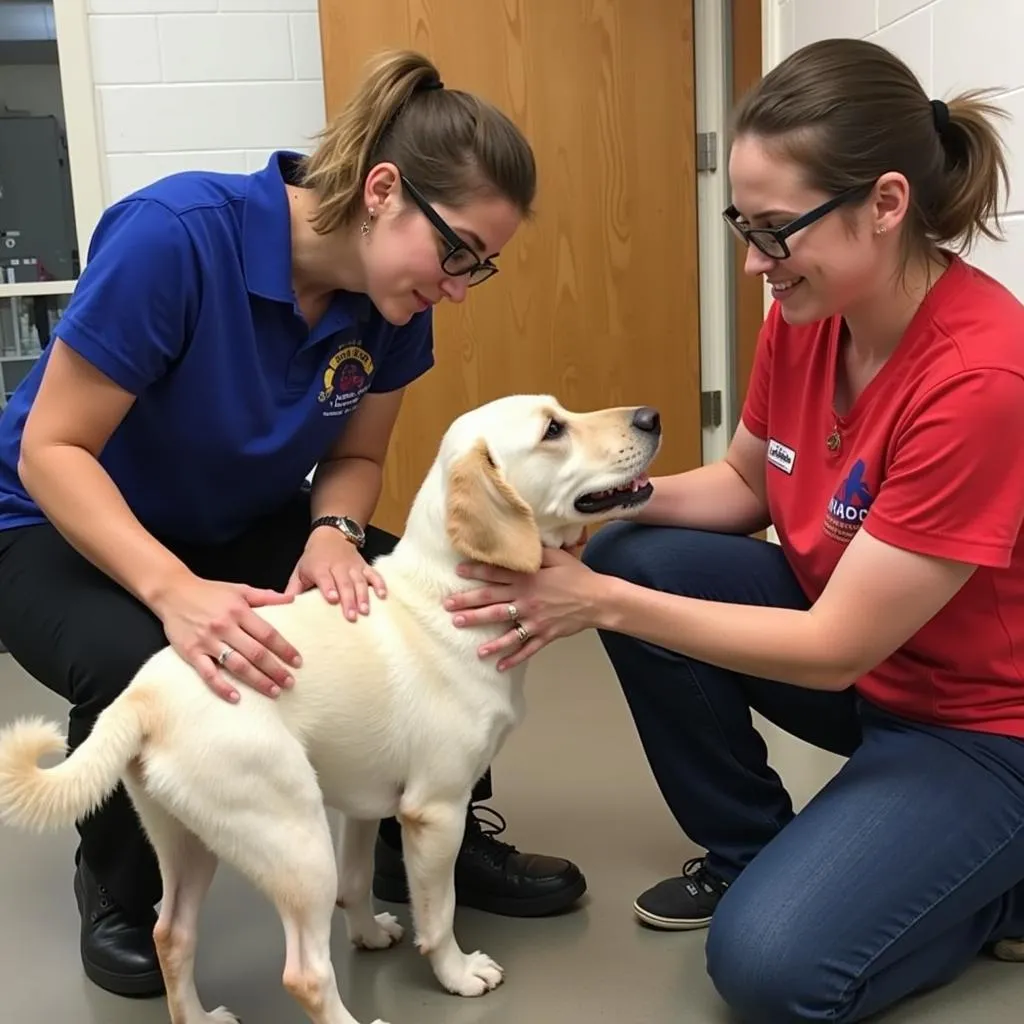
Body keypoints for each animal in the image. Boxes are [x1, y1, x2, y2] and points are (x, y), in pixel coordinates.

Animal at [0, 391, 659, 1024]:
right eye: (553, 430)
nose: (651, 417)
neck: (445, 592)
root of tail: (143, 697)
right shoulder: (436, 810)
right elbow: (438, 912)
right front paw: (457, 973)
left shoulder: (366, 806)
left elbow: (360, 880)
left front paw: (368, 934)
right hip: (295, 838)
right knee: (305, 974)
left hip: (190, 841)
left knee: (173, 937)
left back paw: (201, 1017)